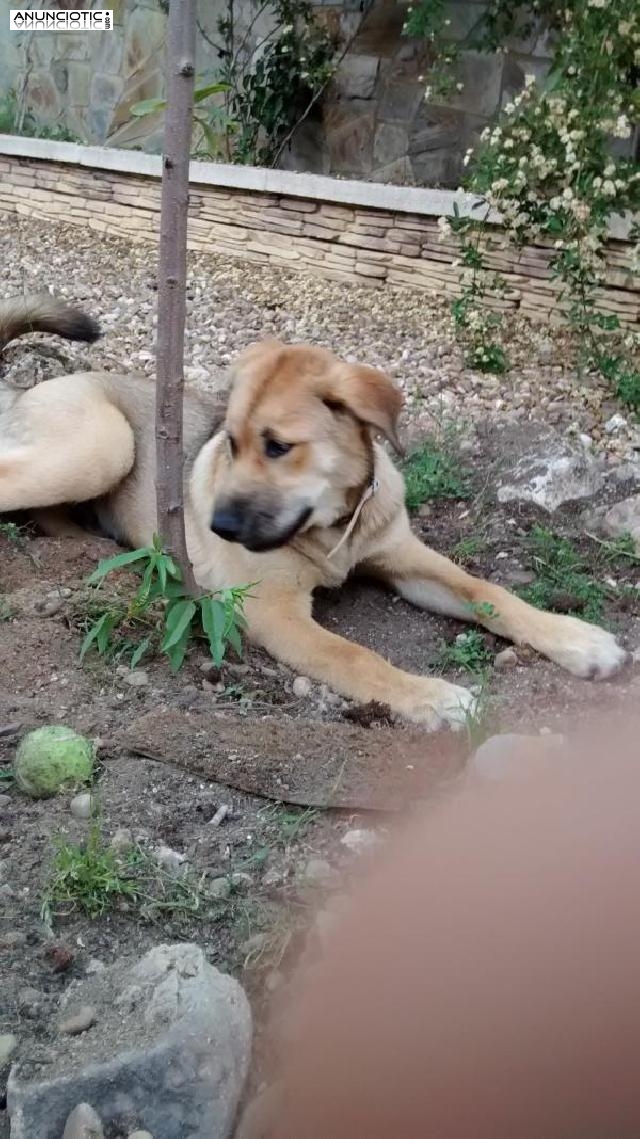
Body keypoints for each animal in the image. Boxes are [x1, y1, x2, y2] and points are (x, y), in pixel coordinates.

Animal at [0, 296, 628, 728]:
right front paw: (433, 697)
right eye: (230, 442)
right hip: (103, 446)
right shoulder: (273, 613)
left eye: (278, 446)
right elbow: (357, 657)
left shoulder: (404, 557)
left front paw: (576, 639)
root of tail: (28, 388)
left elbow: (488, 592)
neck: (332, 529)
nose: (214, 528)